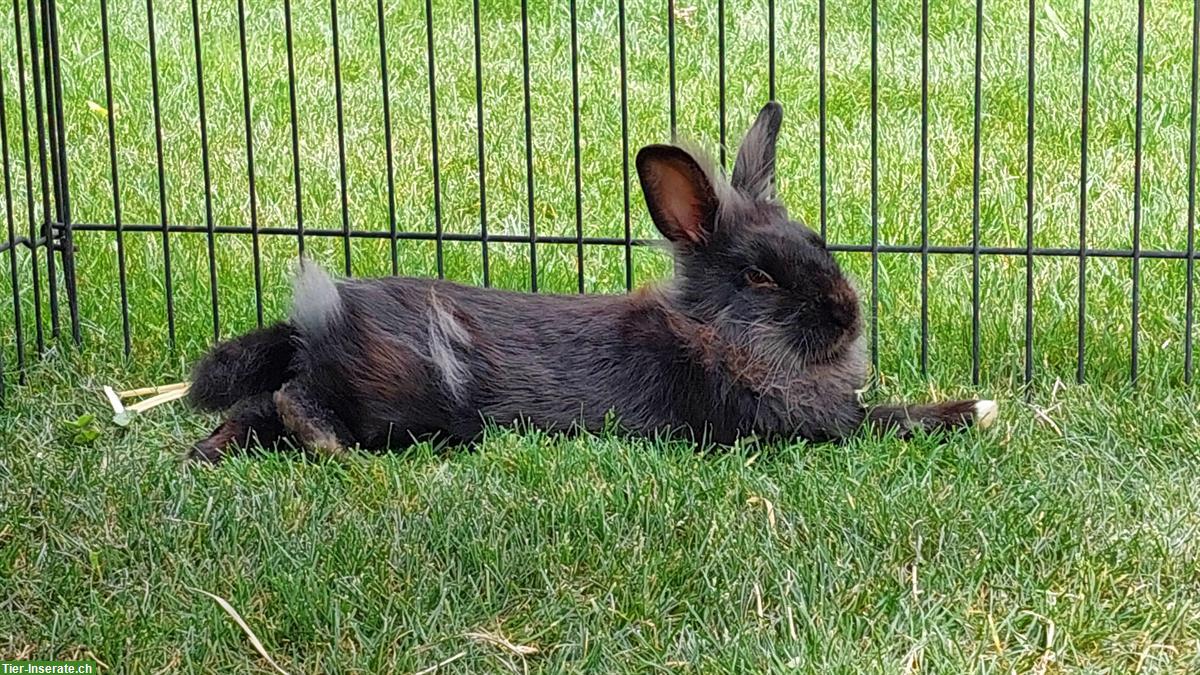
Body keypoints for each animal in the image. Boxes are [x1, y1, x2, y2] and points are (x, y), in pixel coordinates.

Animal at [187, 100, 998, 461]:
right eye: (758, 277)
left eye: (818, 242)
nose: (846, 314)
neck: (715, 338)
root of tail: (317, 321)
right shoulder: (795, 426)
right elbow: (885, 419)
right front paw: (976, 410)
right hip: (400, 397)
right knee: (293, 400)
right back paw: (319, 440)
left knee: (257, 407)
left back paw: (206, 450)